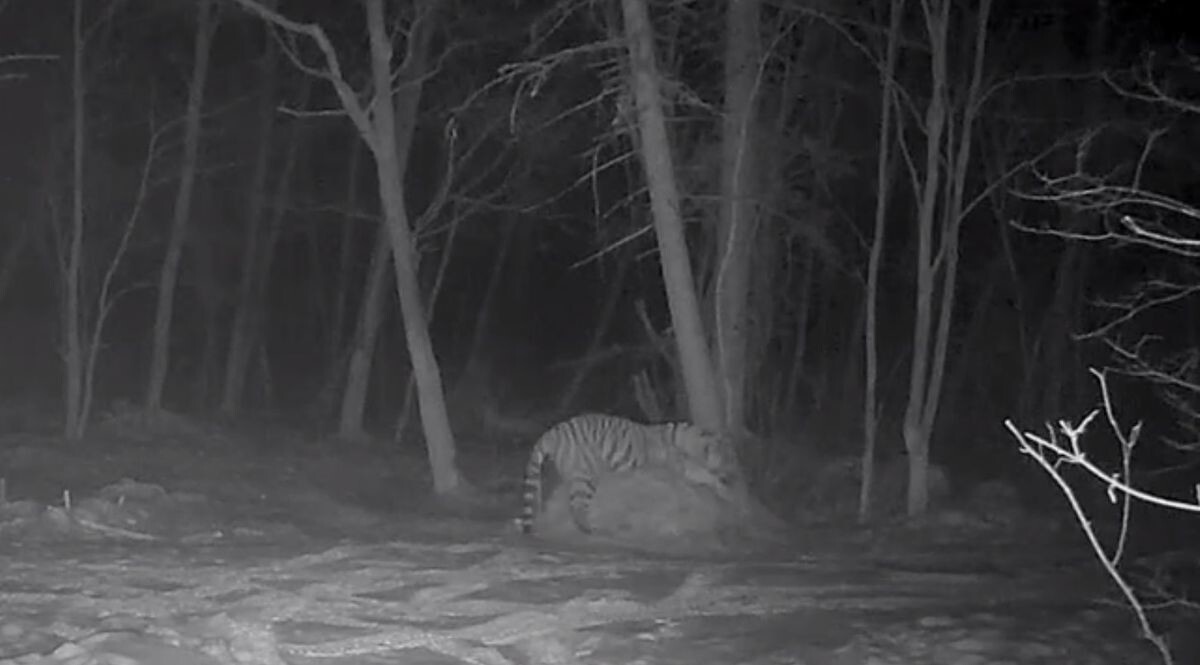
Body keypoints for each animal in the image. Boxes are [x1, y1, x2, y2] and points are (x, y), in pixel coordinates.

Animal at [517, 413, 742, 535]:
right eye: (728, 455)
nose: (733, 467)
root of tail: (553, 431)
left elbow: (707, 476)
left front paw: (726, 490)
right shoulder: (678, 468)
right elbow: (695, 477)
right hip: (586, 474)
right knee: (577, 506)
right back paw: (592, 529)